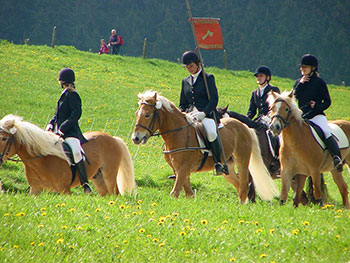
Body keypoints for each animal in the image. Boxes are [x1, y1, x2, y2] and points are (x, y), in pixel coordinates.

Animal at [0, 114, 136, 197]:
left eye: (3, 138)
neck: (42, 160)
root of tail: (113, 138)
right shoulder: (35, 190)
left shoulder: (64, 190)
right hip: (99, 178)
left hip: (109, 175)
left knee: (115, 193)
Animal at [131, 91, 278, 204]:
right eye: (137, 113)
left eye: (147, 115)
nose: (135, 138)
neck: (178, 133)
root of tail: (245, 127)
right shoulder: (180, 170)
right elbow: (189, 194)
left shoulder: (183, 169)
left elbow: (174, 193)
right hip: (228, 168)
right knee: (238, 185)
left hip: (242, 161)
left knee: (244, 186)